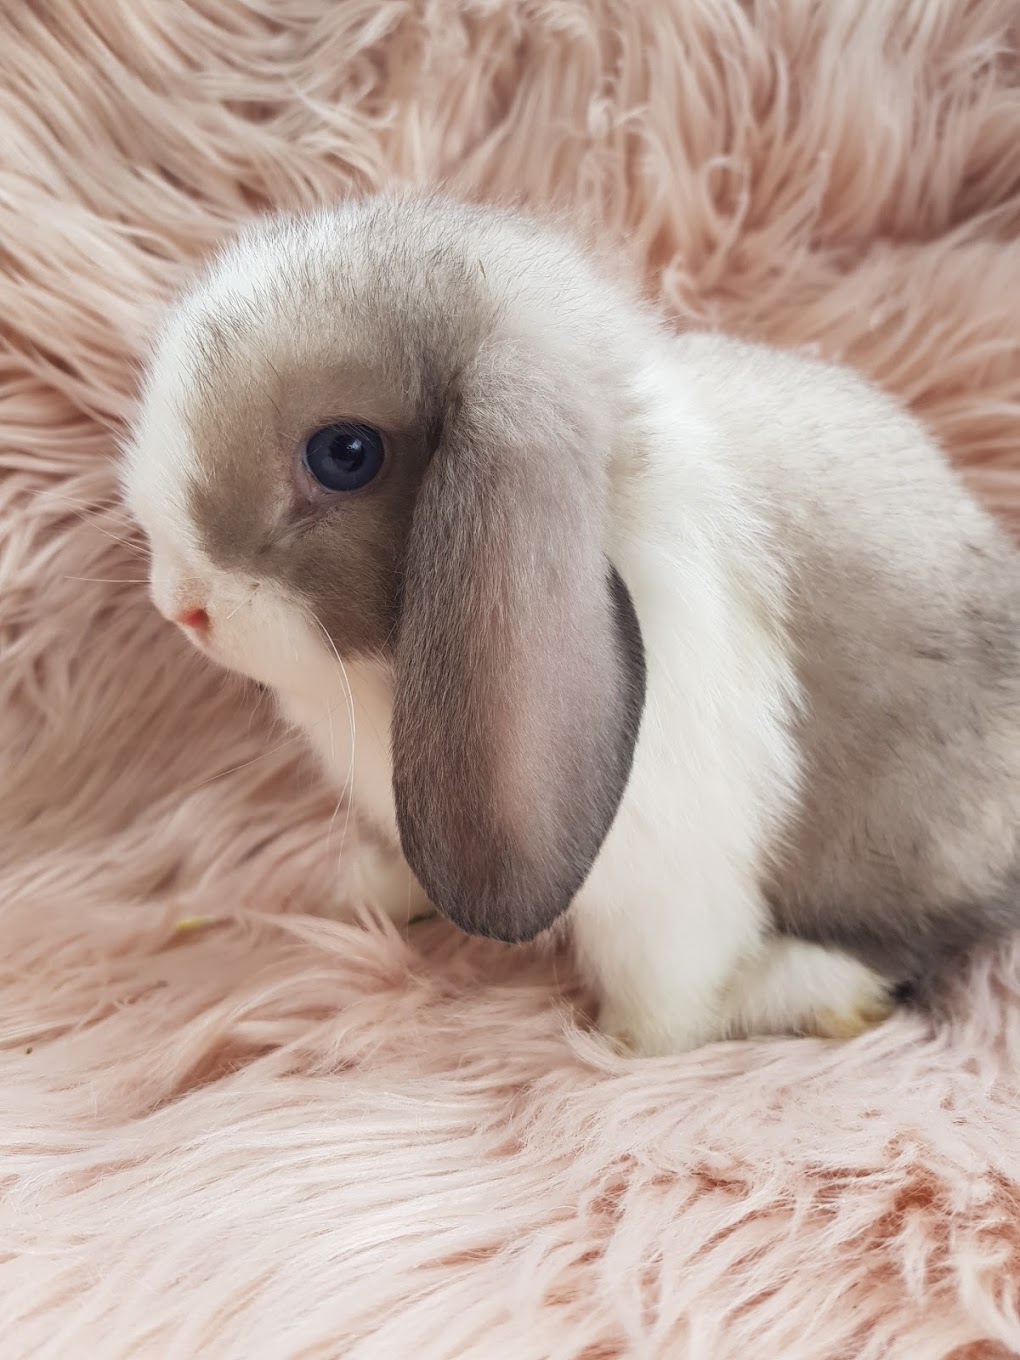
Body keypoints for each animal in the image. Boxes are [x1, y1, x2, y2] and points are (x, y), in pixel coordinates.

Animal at [122, 189, 1020, 1056]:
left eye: (345, 454)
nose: (180, 606)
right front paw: (366, 895)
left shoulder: (665, 876)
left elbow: (667, 988)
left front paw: (626, 1047)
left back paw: (804, 991)